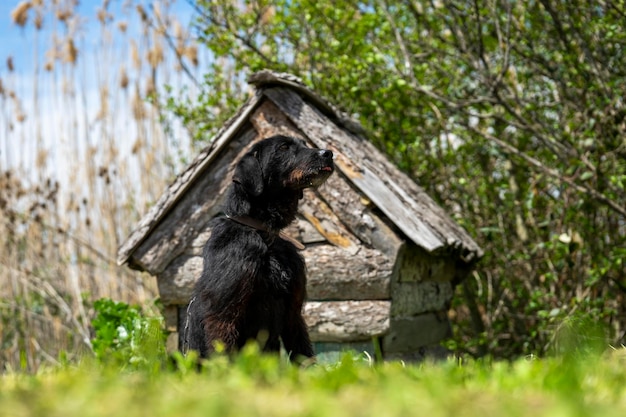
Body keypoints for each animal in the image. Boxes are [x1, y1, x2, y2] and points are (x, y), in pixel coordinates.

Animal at [184, 134, 334, 360]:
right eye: (283, 147)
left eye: (304, 144)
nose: (328, 153)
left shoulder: (293, 312)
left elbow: (303, 353)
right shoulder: (223, 316)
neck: (264, 235)